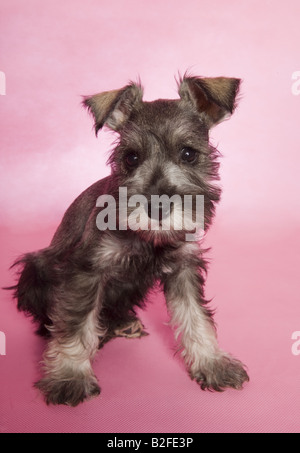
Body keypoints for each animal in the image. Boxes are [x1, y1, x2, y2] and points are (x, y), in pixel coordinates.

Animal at [8, 74, 248, 406]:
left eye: (188, 153)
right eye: (131, 158)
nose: (157, 207)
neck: (148, 239)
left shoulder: (184, 266)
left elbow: (196, 315)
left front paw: (212, 362)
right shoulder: (86, 269)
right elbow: (75, 323)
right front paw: (69, 376)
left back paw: (122, 323)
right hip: (36, 268)